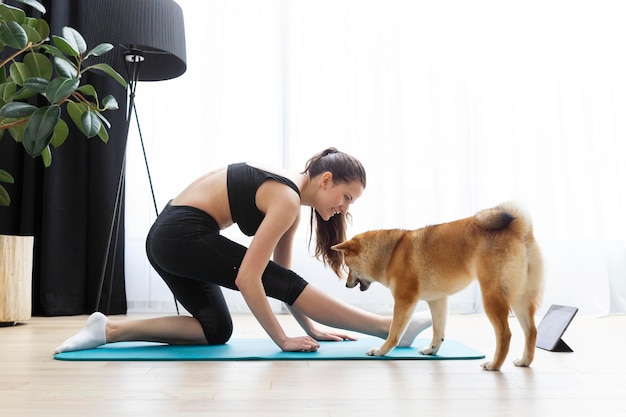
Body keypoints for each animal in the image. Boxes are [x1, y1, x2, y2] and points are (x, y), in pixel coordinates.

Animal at [332, 202, 540, 370]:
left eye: (347, 266)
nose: (346, 285)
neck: (391, 254)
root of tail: (519, 229)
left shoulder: (404, 299)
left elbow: (394, 332)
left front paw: (380, 351)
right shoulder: (437, 300)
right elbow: (438, 331)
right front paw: (432, 350)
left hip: (491, 296)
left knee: (505, 334)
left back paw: (494, 365)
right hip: (520, 298)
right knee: (531, 331)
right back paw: (525, 361)